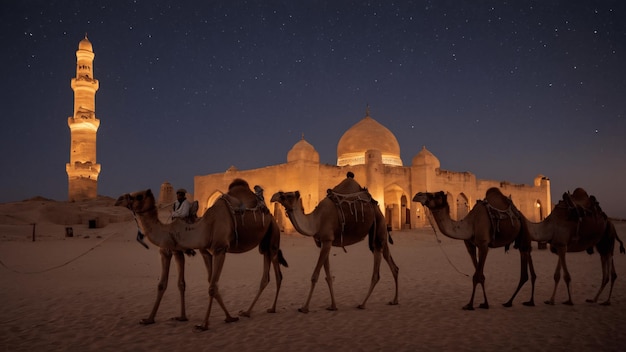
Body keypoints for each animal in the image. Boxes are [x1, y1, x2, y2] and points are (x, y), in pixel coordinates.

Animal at [115, 179, 288, 330]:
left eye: (138, 196)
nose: (118, 199)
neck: (204, 227)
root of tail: (271, 217)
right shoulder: (205, 252)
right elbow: (208, 283)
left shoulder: (220, 250)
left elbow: (212, 287)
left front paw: (204, 324)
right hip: (264, 244)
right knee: (266, 275)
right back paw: (247, 312)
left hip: (273, 236)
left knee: (277, 274)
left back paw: (268, 309)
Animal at [266, 174, 394, 314]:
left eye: (287, 195)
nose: (273, 197)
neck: (316, 221)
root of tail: (377, 206)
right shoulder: (324, 243)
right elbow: (328, 276)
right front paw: (333, 306)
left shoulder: (327, 240)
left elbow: (315, 276)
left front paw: (304, 307)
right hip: (380, 233)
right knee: (393, 265)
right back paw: (395, 300)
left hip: (379, 226)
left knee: (376, 272)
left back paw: (362, 304)